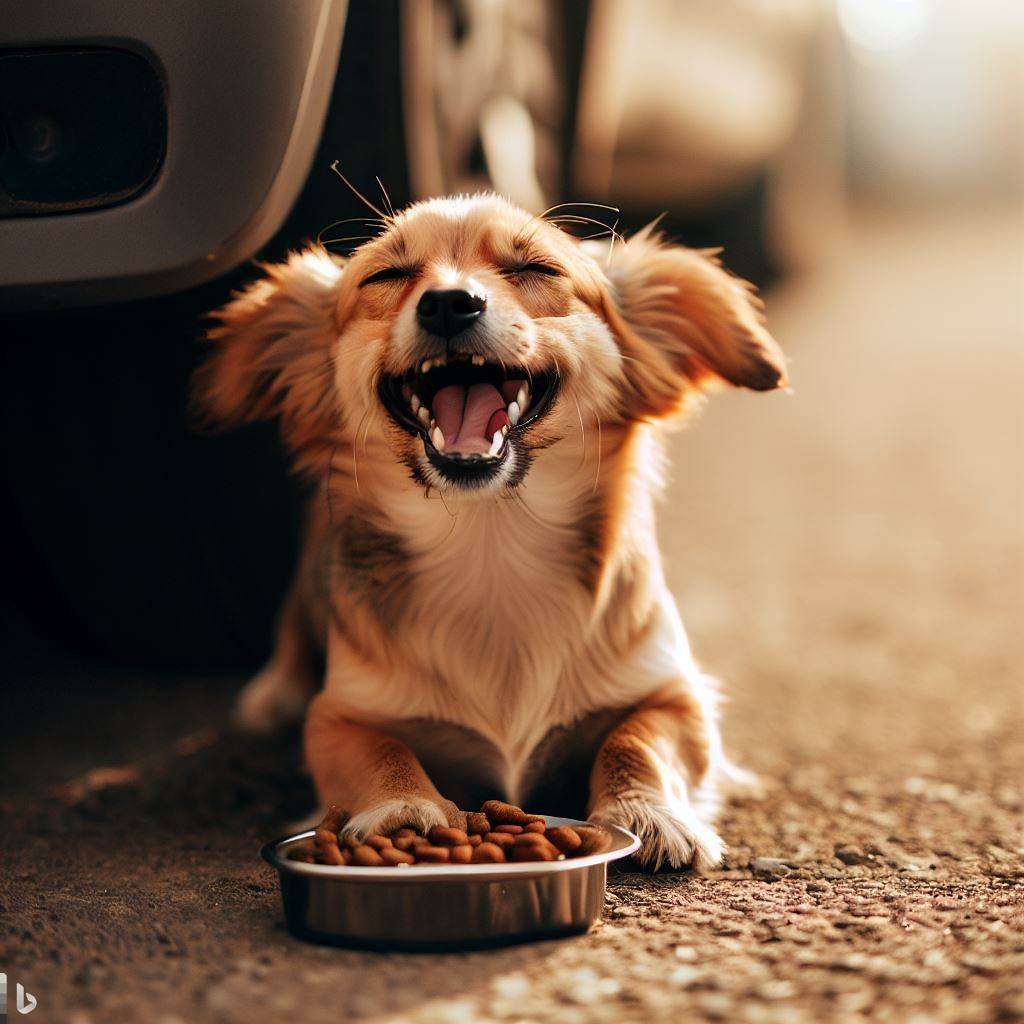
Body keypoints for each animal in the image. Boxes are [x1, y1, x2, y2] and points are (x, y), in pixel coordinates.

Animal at [193, 193, 782, 872]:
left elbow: (636, 740)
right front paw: (403, 812)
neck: (490, 542)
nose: (449, 302)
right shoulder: (341, 714)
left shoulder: (676, 692)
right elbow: (380, 752)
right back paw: (271, 696)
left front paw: (646, 812)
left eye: (536, 268)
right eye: (387, 276)